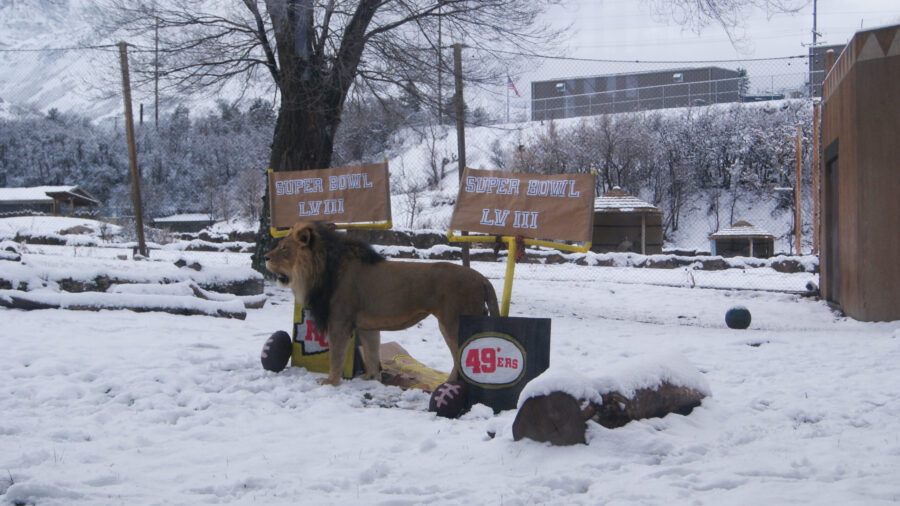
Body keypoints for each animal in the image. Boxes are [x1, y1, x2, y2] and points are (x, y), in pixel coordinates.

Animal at [264, 221, 500, 386]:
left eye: (284, 248)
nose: (265, 257)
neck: (321, 269)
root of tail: (481, 278)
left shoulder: (339, 321)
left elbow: (336, 355)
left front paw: (330, 381)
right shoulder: (367, 326)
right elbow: (371, 352)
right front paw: (371, 377)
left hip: (452, 323)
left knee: (462, 358)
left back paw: (449, 385)